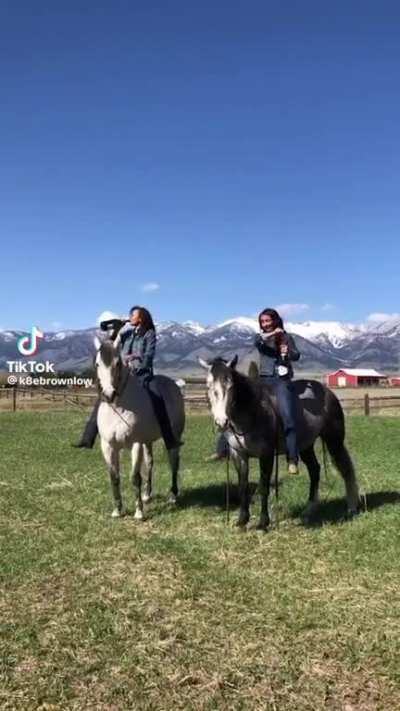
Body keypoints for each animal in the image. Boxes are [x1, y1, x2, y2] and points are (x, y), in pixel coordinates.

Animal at [94, 337, 185, 520]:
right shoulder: (108, 446)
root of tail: (174, 385)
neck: (119, 408)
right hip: (147, 442)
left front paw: (139, 512)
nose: (109, 395)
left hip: (173, 437)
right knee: (150, 463)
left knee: (174, 462)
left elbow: (135, 477)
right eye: (97, 364)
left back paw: (173, 495)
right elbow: (114, 477)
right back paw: (147, 495)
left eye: (118, 363)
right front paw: (117, 510)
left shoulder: (136, 444)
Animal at [199, 356, 360, 530]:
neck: (252, 411)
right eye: (208, 385)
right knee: (314, 470)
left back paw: (352, 508)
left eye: (230, 385)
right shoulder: (239, 454)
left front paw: (263, 523)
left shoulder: (266, 454)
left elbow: (263, 486)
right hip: (305, 445)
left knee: (345, 468)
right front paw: (242, 520)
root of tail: (328, 392)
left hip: (334, 440)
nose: (221, 422)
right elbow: (243, 486)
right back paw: (309, 509)